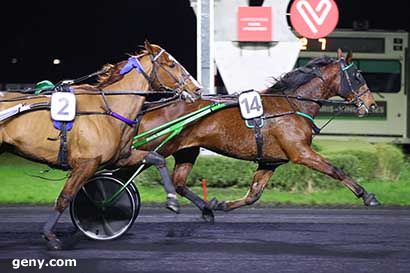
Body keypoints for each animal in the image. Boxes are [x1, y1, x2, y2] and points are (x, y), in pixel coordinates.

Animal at [0, 41, 200, 249]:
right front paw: (50, 236)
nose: (197, 89)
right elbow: (65, 196)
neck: (107, 109)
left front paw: (172, 201)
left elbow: (157, 158)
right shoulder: (86, 163)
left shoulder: (121, 157)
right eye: (171, 65)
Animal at [123, 49, 380, 221]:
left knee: (178, 183)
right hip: (156, 148)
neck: (292, 104)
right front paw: (367, 196)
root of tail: (150, 107)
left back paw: (206, 209)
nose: (371, 103)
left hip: (187, 150)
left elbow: (254, 194)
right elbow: (336, 170)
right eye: (357, 75)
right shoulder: (301, 152)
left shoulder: (270, 161)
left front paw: (220, 204)